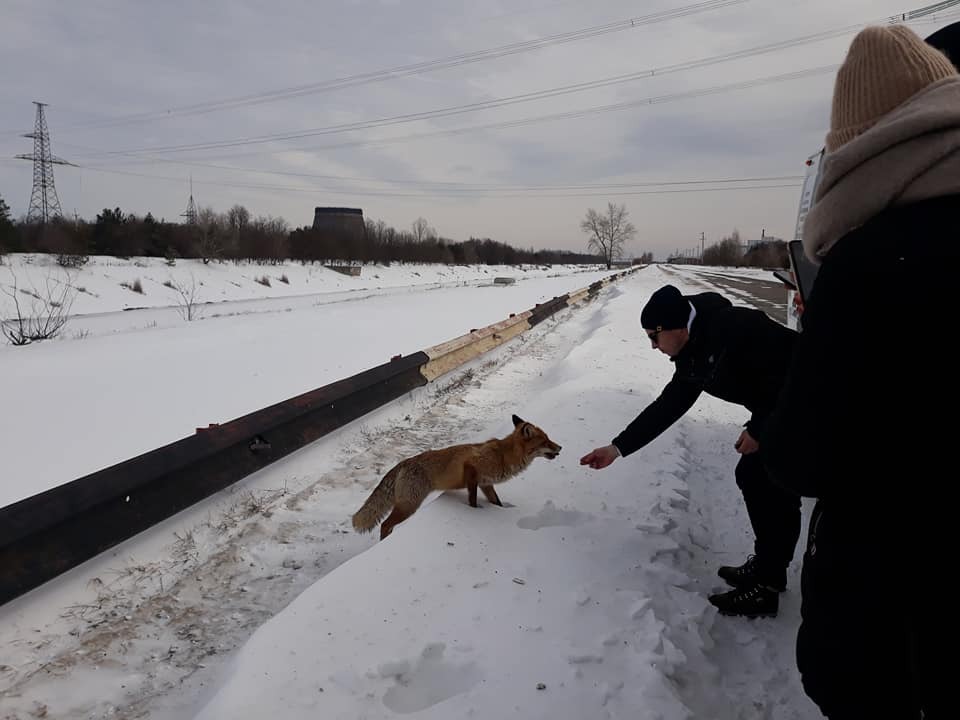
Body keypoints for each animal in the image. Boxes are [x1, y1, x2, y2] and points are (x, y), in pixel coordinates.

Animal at [352, 414, 564, 536]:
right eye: (545, 441)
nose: (560, 447)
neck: (503, 456)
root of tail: (404, 462)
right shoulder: (471, 469)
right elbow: (472, 500)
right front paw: (475, 512)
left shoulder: (486, 483)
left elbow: (497, 502)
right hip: (409, 505)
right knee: (384, 525)